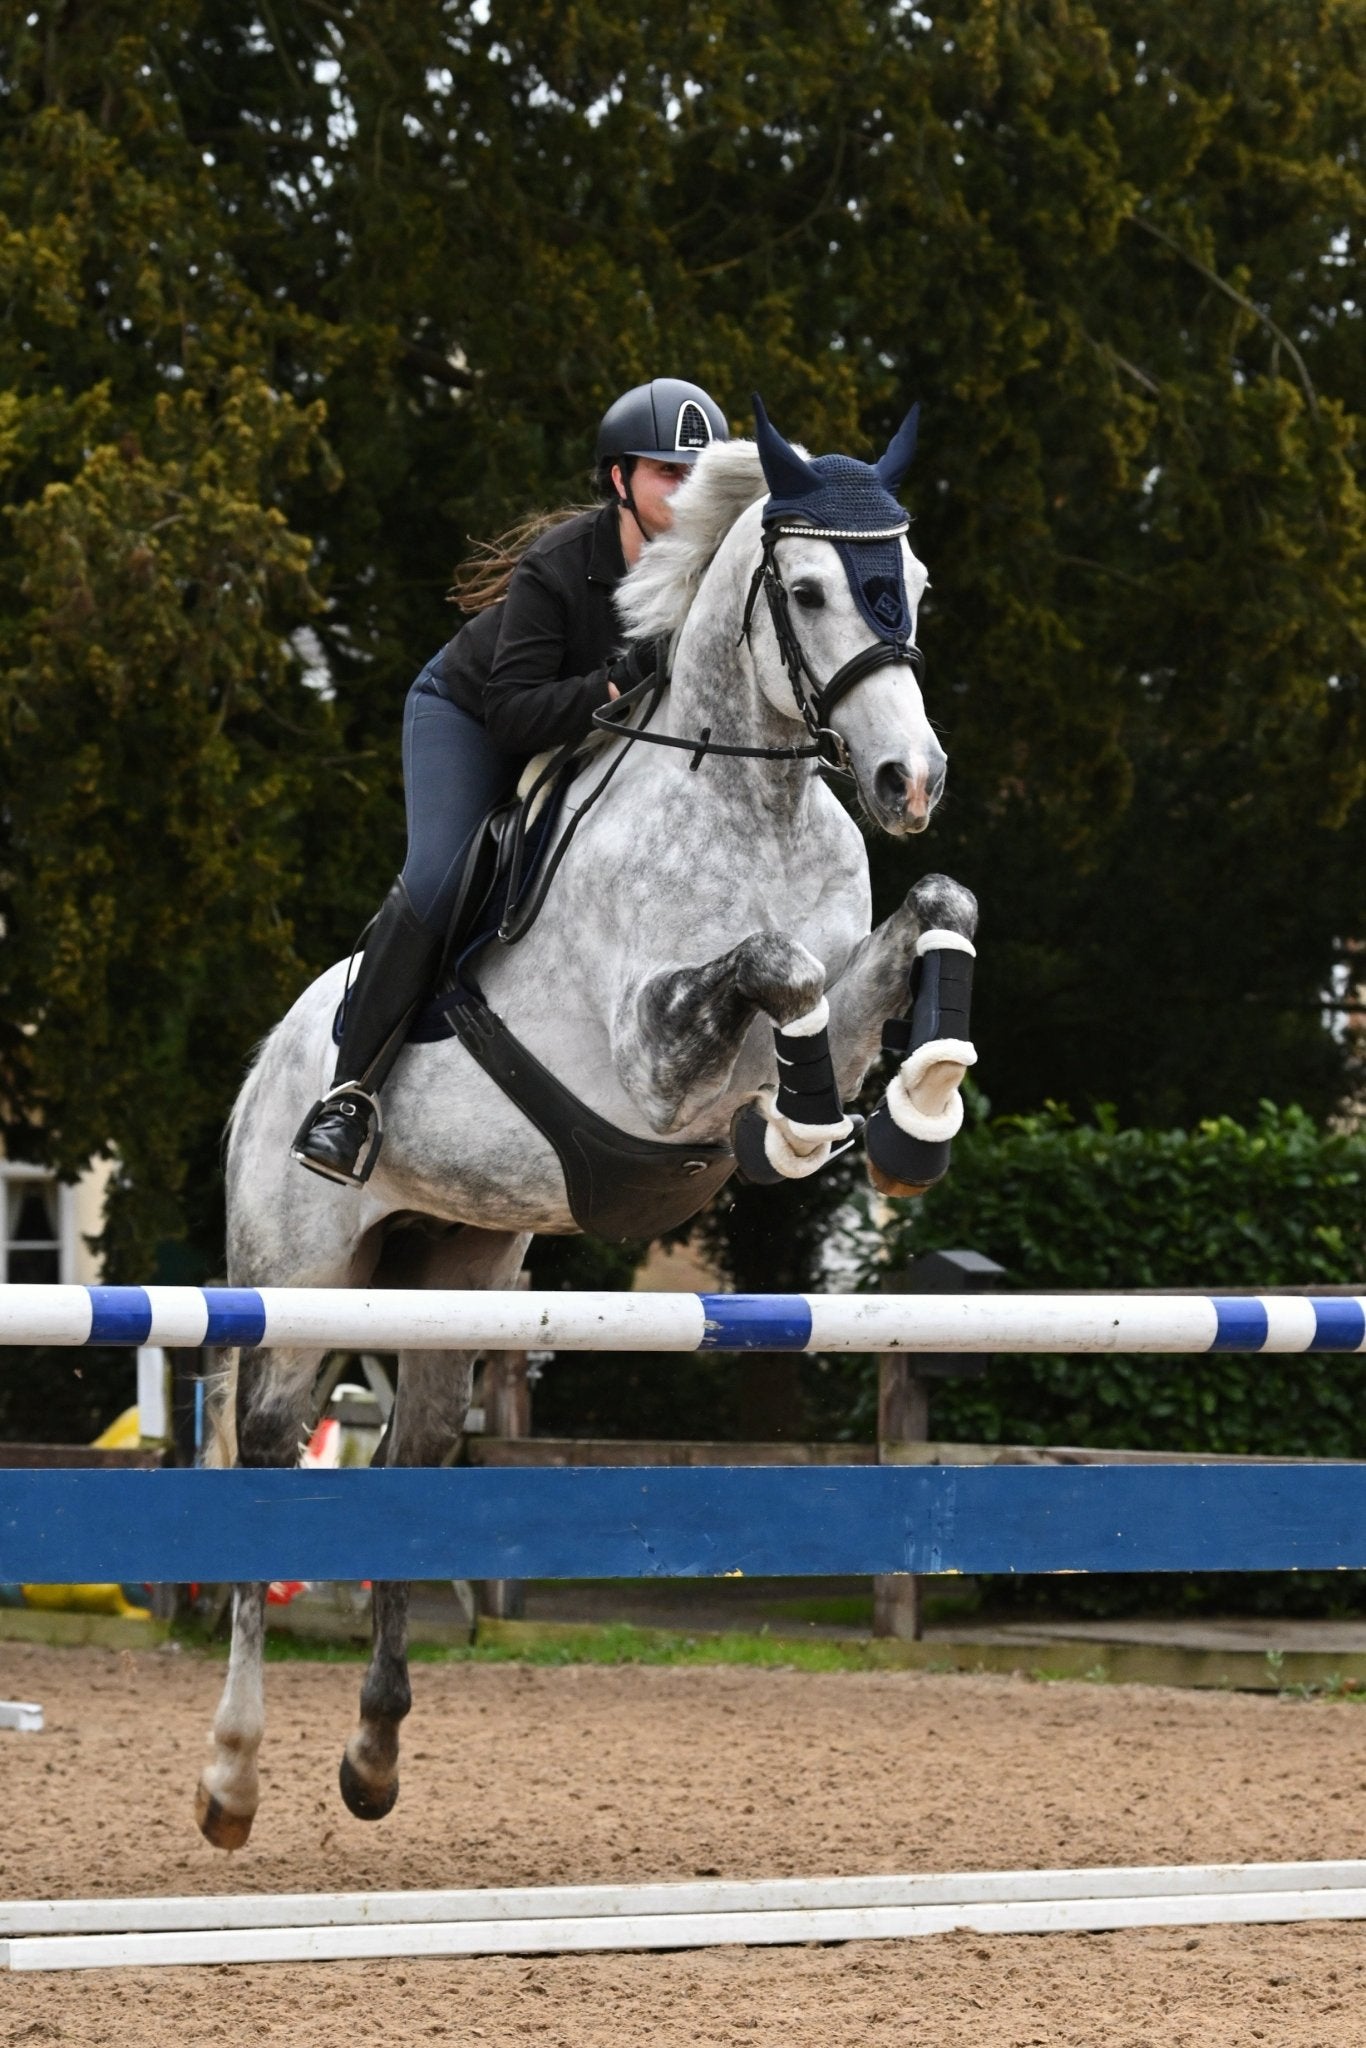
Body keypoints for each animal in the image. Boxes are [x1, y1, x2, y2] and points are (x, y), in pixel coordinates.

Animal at [197, 407, 978, 1851]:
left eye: (913, 584)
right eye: (807, 591)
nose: (910, 778)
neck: (752, 804)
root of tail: (266, 1061)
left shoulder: (842, 1000)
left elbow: (923, 919)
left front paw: (910, 1114)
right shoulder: (651, 1068)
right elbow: (775, 965)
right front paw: (798, 1135)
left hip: (450, 1276)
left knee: (418, 1451)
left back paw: (374, 1755)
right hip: (301, 1272)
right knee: (267, 1448)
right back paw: (230, 1776)